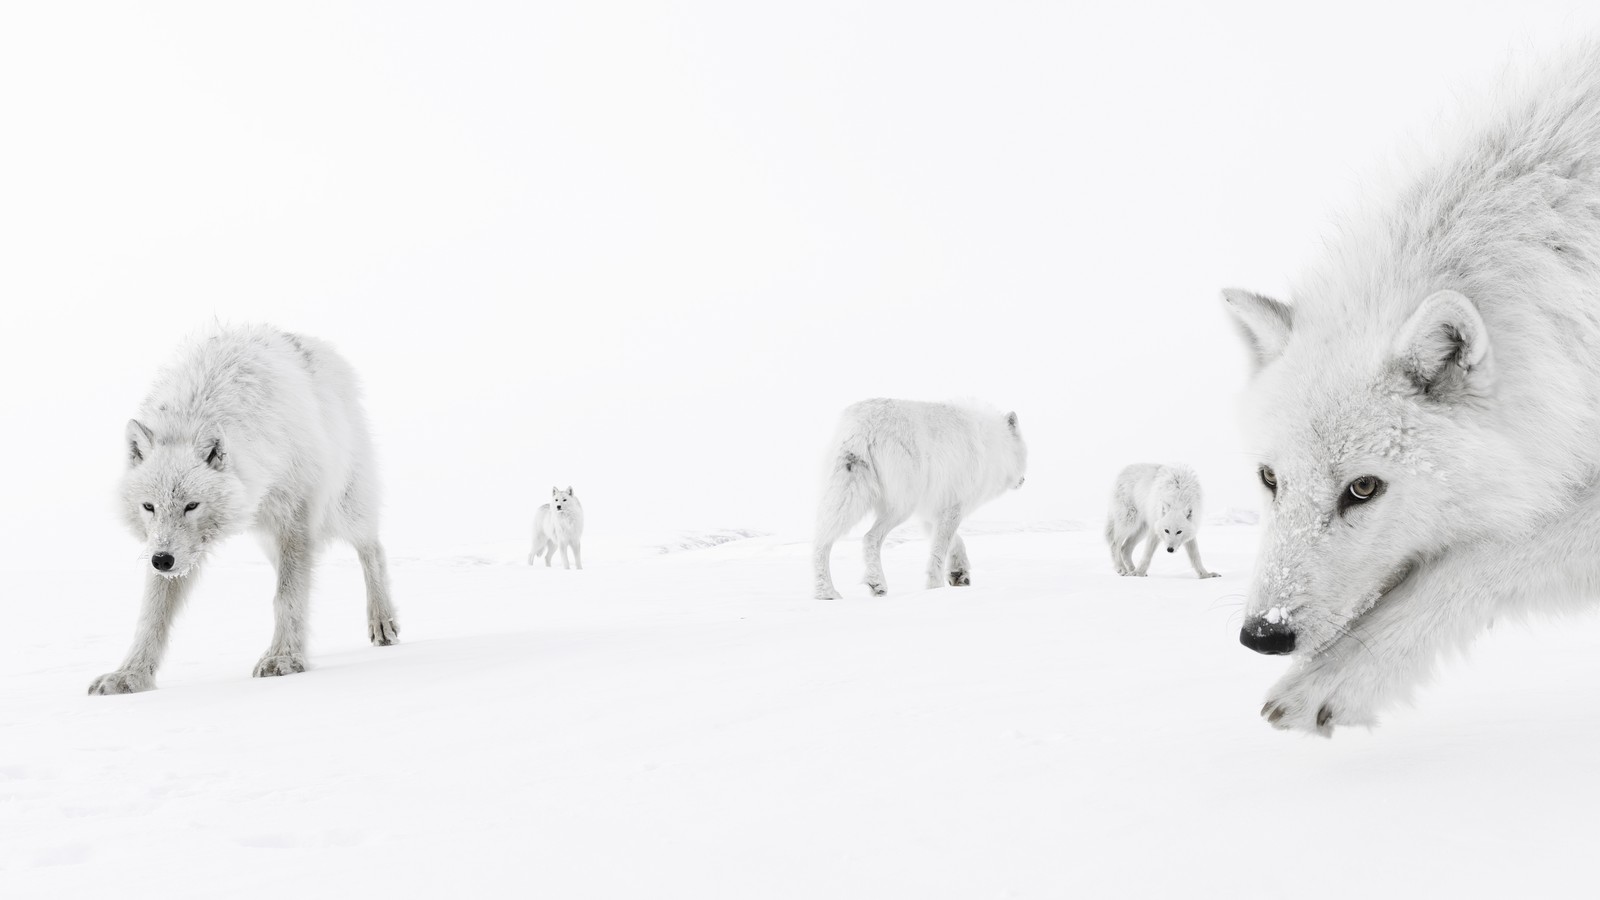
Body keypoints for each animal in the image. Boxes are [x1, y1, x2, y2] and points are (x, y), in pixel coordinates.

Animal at [88, 325, 398, 695]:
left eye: (191, 506)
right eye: (149, 506)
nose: (162, 560)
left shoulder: (294, 520)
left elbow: (287, 596)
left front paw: (284, 658)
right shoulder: (170, 549)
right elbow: (152, 615)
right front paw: (130, 676)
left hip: (342, 509)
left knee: (373, 549)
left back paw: (382, 621)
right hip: (267, 538)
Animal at [811, 398, 1027, 600]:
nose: (1023, 481)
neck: (993, 444)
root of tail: (865, 424)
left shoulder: (932, 512)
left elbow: (956, 541)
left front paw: (959, 572)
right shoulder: (953, 508)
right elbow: (939, 550)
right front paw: (936, 587)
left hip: (847, 497)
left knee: (822, 541)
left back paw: (826, 593)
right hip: (900, 507)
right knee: (869, 538)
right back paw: (876, 583)